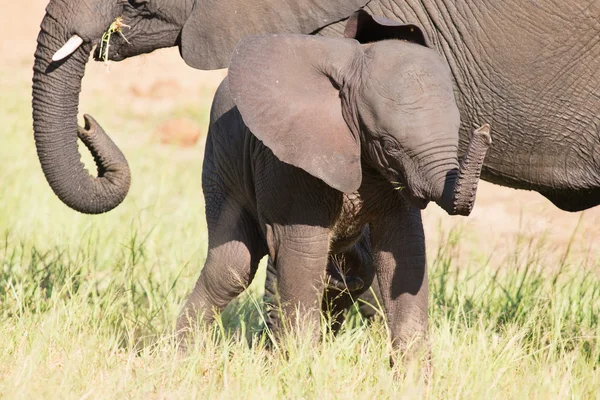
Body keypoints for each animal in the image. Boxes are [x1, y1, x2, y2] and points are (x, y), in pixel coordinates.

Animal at [175, 28, 492, 360]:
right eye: (389, 145)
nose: (484, 131)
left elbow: (405, 249)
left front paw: (414, 371)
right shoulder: (291, 159)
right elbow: (303, 251)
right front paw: (301, 364)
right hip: (220, 166)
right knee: (232, 268)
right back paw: (182, 355)